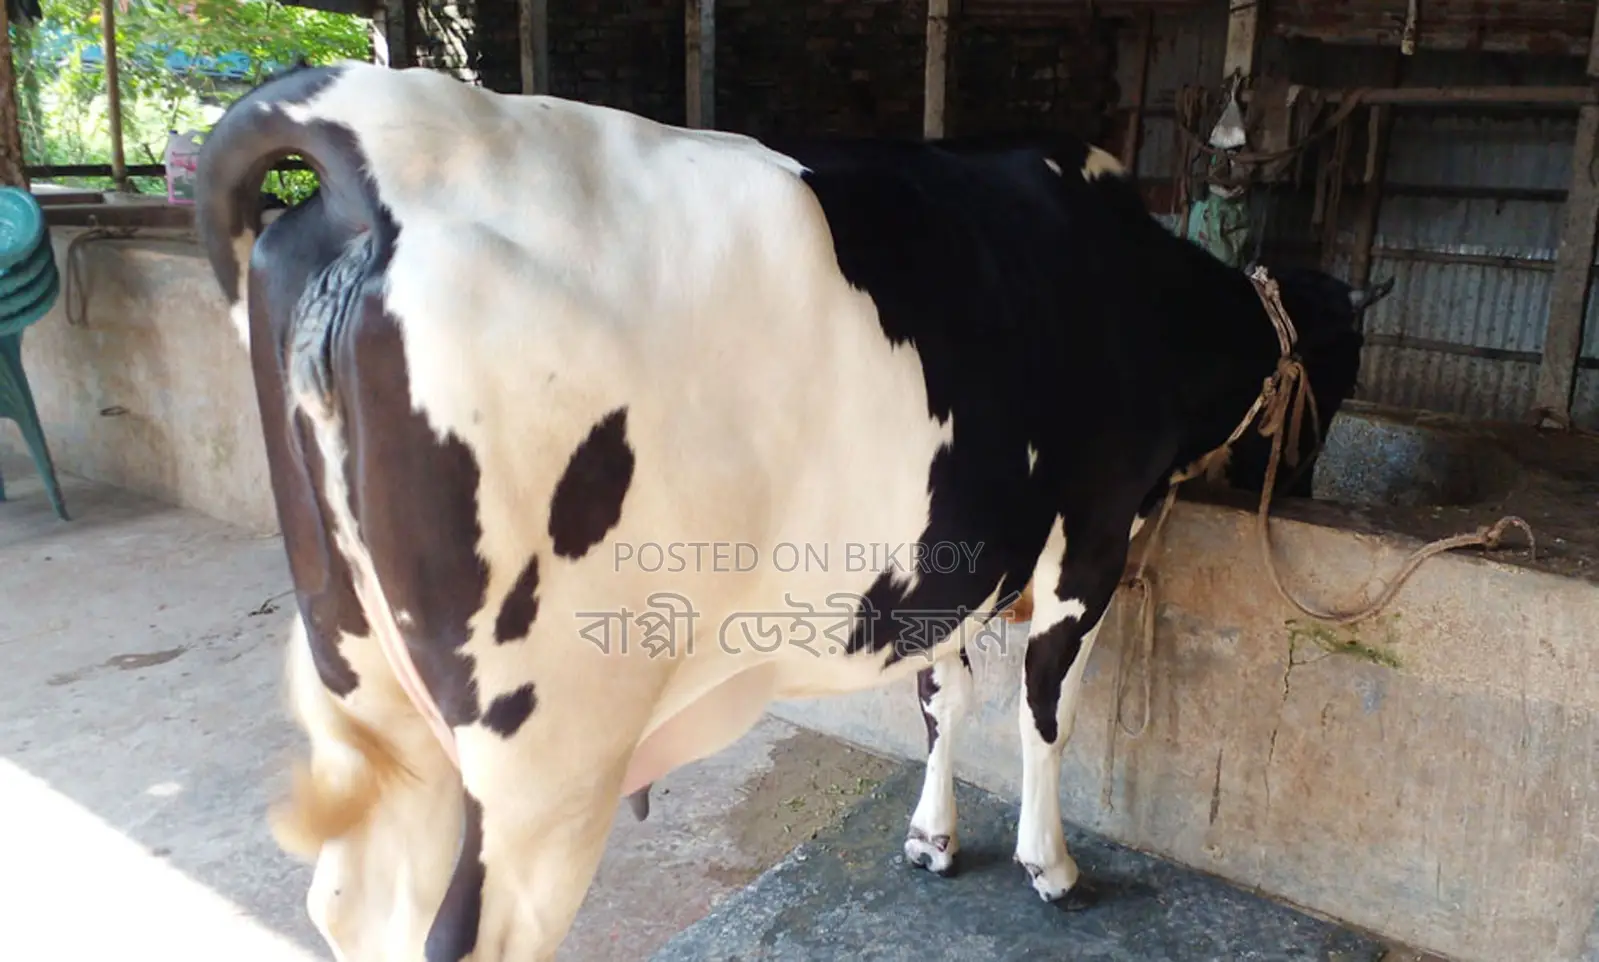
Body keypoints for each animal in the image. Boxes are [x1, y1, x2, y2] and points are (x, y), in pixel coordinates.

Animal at [194, 60, 1371, 962]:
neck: (1139, 287)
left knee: (357, 903)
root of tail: (383, 139)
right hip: (543, 760)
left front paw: (933, 838)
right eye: (1343, 370)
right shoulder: (1092, 527)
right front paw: (1051, 863)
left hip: (369, 685)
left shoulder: (944, 554)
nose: (1313, 490)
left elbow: (941, 693)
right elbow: (1045, 707)